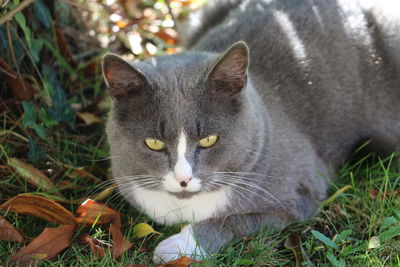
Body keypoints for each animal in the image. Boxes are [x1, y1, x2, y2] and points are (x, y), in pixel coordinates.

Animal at [103, 0, 400, 264]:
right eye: (154, 143)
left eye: (209, 140)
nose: (183, 179)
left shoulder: (297, 195)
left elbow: (234, 220)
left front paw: (177, 246)